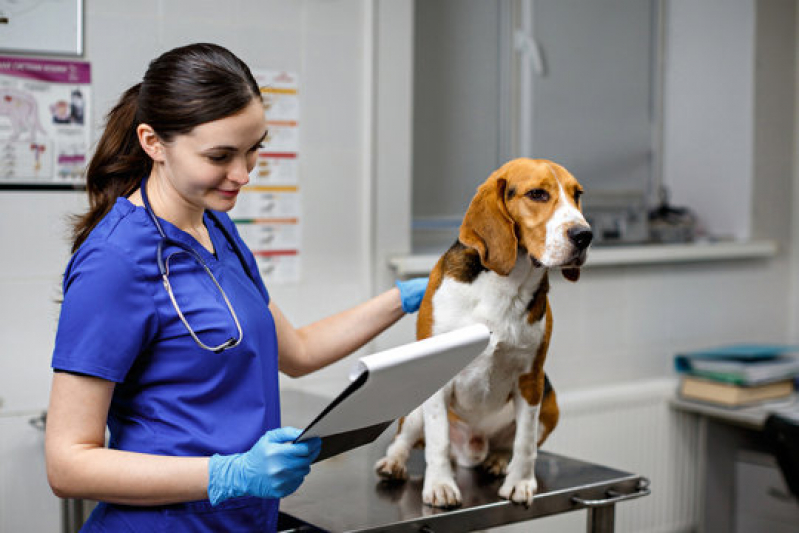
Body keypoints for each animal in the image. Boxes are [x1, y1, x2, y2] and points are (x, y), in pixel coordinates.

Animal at [376, 156, 592, 504]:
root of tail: (471, 450)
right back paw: (393, 463)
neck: (506, 285)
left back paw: (499, 461)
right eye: (537, 194)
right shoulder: (435, 376)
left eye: (577, 195)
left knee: (511, 443)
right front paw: (440, 485)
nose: (585, 235)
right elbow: (437, 440)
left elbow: (525, 442)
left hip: (550, 404)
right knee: (406, 438)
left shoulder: (531, 379)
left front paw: (520, 482)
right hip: (417, 405)